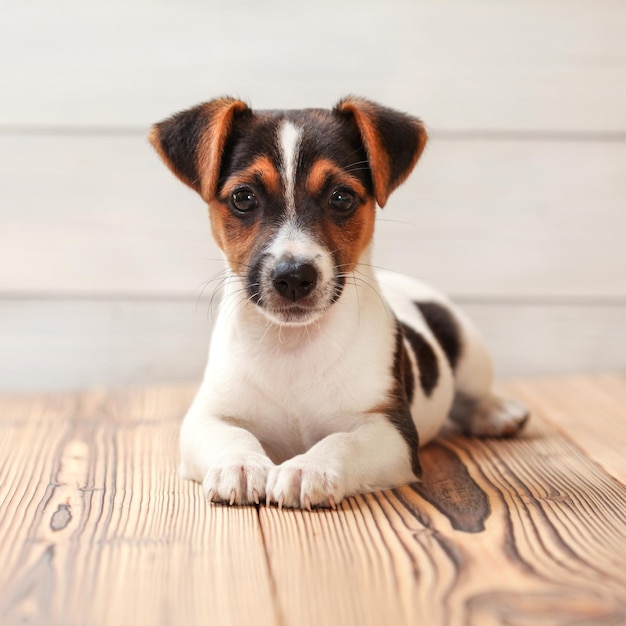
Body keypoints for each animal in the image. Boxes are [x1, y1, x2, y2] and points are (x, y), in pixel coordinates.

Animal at [150, 96, 528, 508]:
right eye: (243, 198)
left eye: (342, 198)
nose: (293, 276)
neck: (293, 345)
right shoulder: (207, 415)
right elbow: (231, 434)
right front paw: (241, 463)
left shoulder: (391, 429)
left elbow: (343, 442)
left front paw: (307, 468)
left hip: (468, 345)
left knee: (473, 395)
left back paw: (497, 413)